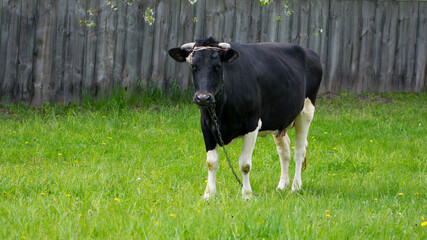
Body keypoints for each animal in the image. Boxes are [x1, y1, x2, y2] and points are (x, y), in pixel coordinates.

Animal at [169, 37, 322, 199]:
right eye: (193, 66)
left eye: (217, 66)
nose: (203, 98)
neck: (221, 110)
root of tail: (310, 52)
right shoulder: (206, 126)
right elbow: (211, 162)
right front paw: (208, 195)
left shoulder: (252, 125)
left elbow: (245, 164)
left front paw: (247, 195)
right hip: (279, 119)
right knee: (284, 151)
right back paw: (281, 186)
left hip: (306, 112)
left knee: (299, 151)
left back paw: (295, 187)